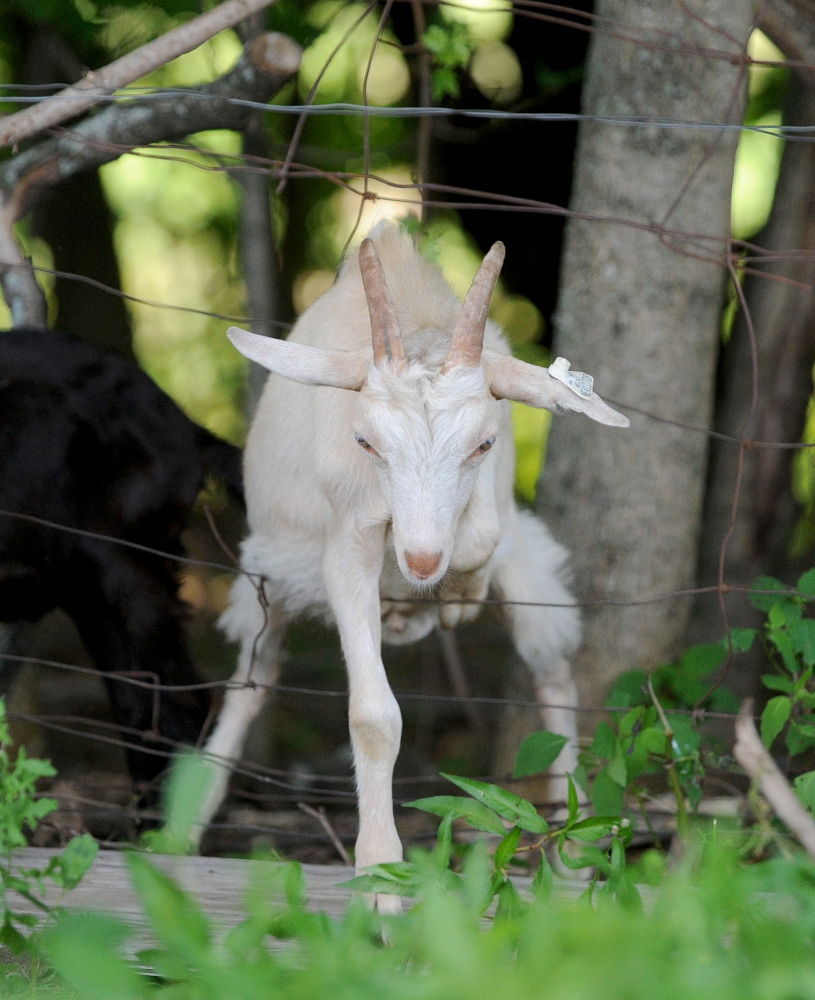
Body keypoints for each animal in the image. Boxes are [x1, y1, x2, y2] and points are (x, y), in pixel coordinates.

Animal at [194, 225, 628, 900]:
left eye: (483, 443)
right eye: (366, 441)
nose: (422, 561)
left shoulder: (499, 515)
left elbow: (481, 538)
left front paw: (455, 598)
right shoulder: (344, 549)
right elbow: (374, 716)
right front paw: (379, 876)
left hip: (529, 577)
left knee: (553, 672)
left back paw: (571, 852)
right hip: (272, 576)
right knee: (252, 680)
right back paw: (181, 827)